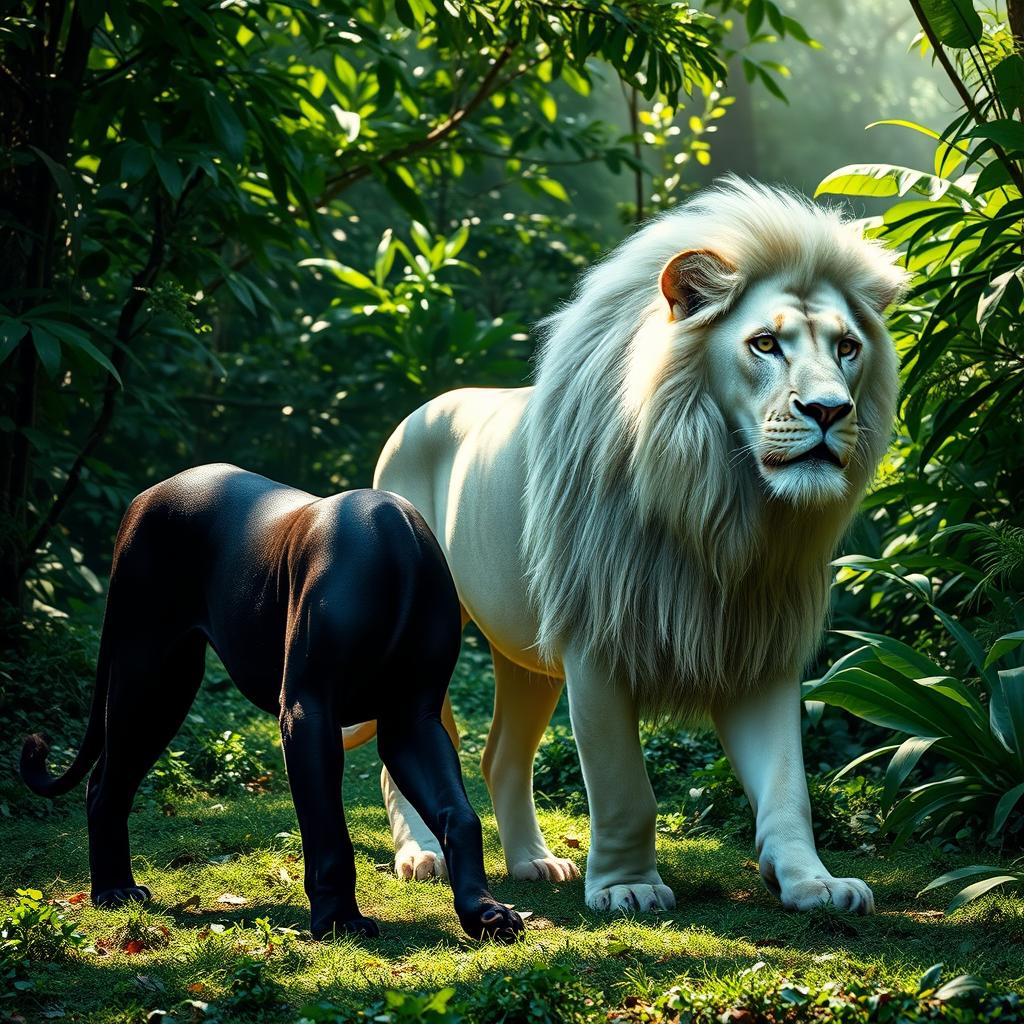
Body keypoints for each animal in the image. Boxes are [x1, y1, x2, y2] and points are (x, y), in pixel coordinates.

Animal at [363, 177, 907, 914]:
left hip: (524, 651)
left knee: (501, 755)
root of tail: (416, 414)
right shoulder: (597, 638)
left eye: (848, 347)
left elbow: (787, 785)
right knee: (408, 746)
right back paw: (422, 855)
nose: (829, 411)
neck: (721, 510)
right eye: (766, 343)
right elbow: (625, 788)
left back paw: (534, 863)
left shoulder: (758, 643)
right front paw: (629, 887)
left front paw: (814, 883)